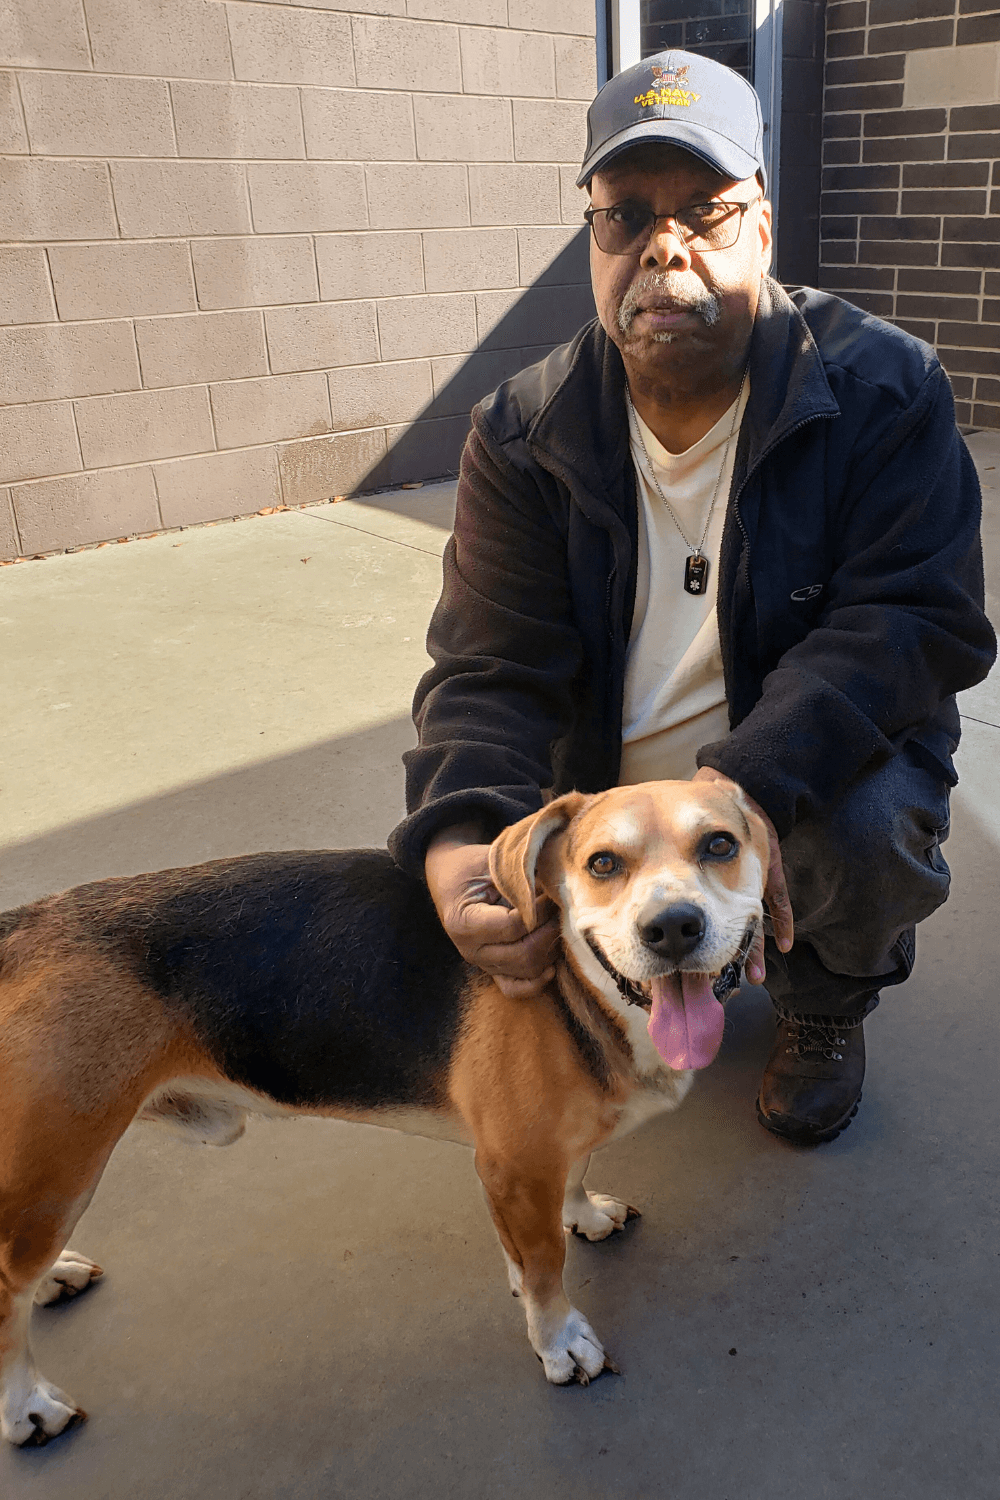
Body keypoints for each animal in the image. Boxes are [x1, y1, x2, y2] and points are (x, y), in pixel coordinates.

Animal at [0, 780, 767, 1446]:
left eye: (719, 845)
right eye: (602, 863)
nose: (673, 928)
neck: (582, 992)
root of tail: (22, 925)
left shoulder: (543, 1155)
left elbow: (571, 1180)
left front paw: (580, 1216)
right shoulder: (513, 1166)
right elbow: (545, 1265)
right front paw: (558, 1339)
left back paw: (55, 1279)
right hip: (58, 1168)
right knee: (8, 1289)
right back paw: (27, 1406)